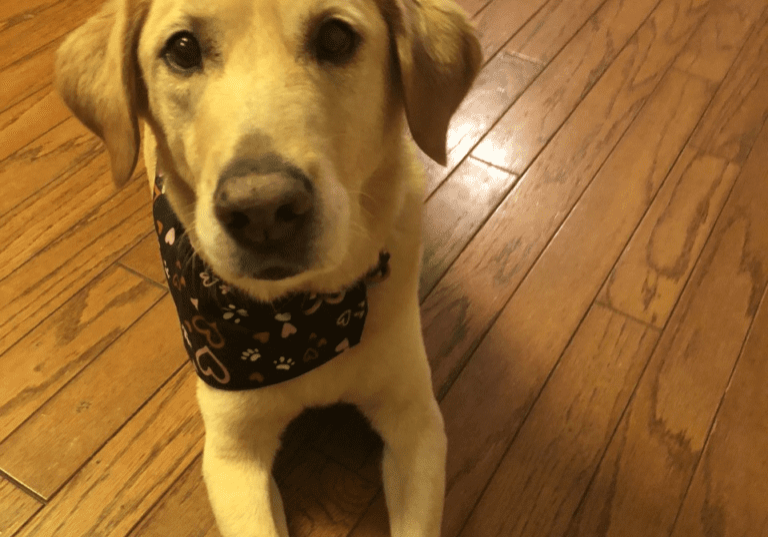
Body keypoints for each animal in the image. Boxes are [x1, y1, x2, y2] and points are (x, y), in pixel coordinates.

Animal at [57, 1, 480, 532]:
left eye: (336, 38)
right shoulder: (231, 454)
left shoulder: (418, 422)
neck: (302, 319)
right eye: (182, 49)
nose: (262, 210)